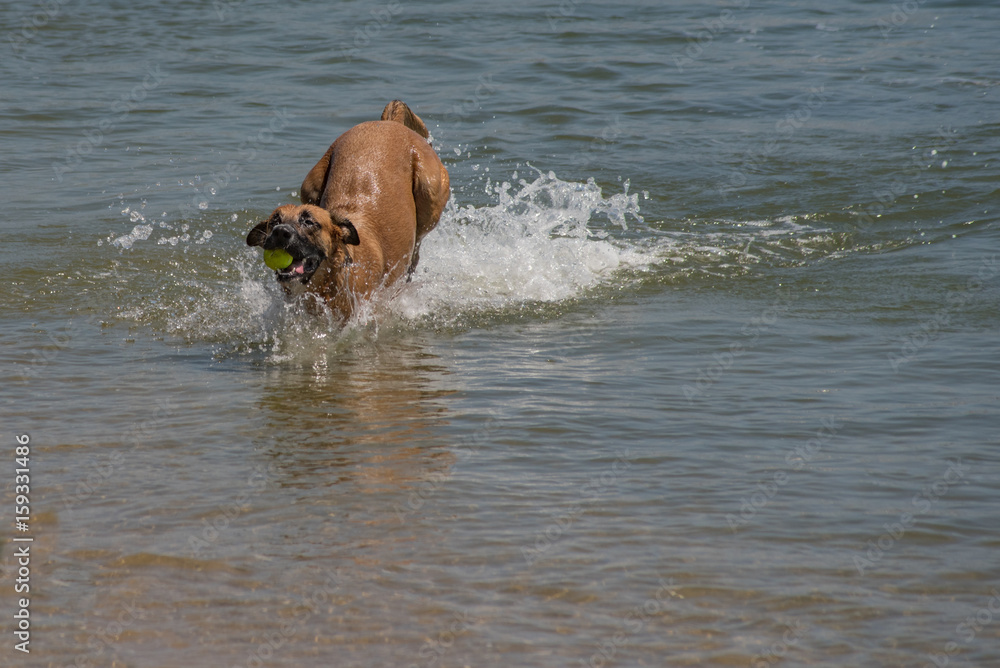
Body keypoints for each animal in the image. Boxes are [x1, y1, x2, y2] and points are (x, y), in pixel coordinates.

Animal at [248, 100, 452, 322]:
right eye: (274, 221)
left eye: (309, 222)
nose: (280, 233)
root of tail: (390, 124)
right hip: (310, 186)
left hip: (429, 193)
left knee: (417, 244)